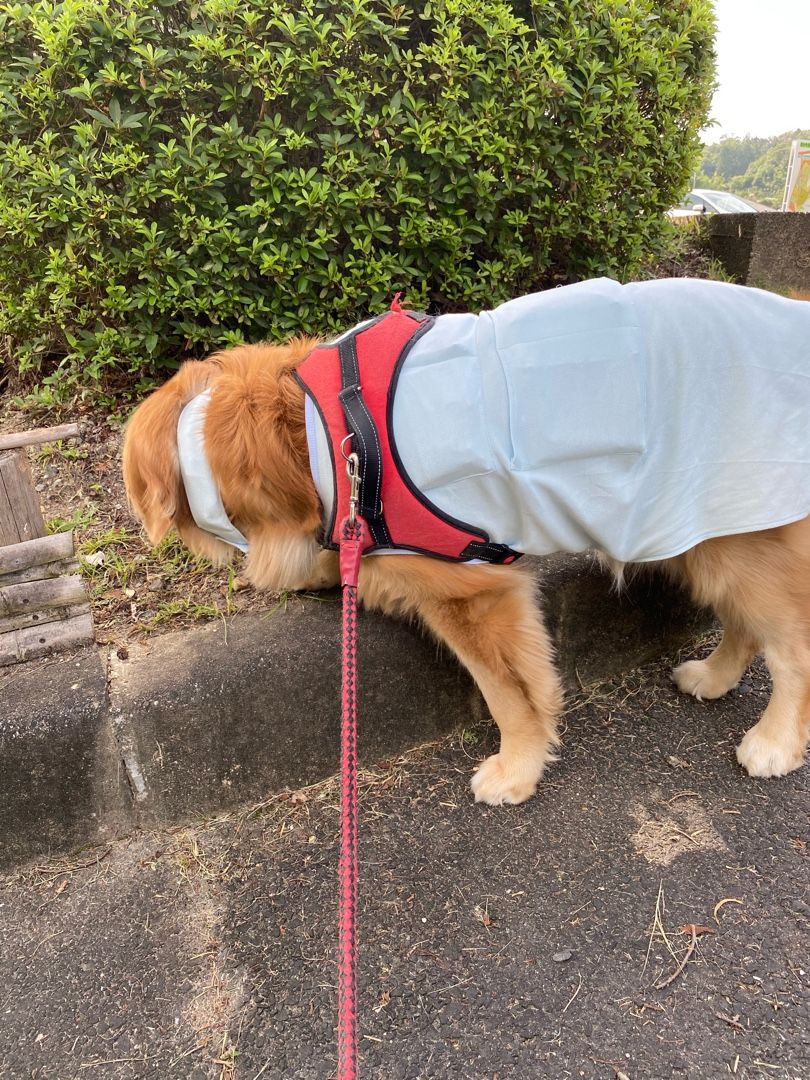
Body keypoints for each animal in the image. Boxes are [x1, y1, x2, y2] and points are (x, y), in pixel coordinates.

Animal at [123, 278, 810, 803]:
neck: (322, 439)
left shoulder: (472, 596)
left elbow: (510, 693)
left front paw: (518, 766)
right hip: (706, 532)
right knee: (748, 623)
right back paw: (714, 677)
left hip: (730, 528)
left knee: (793, 646)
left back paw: (775, 741)